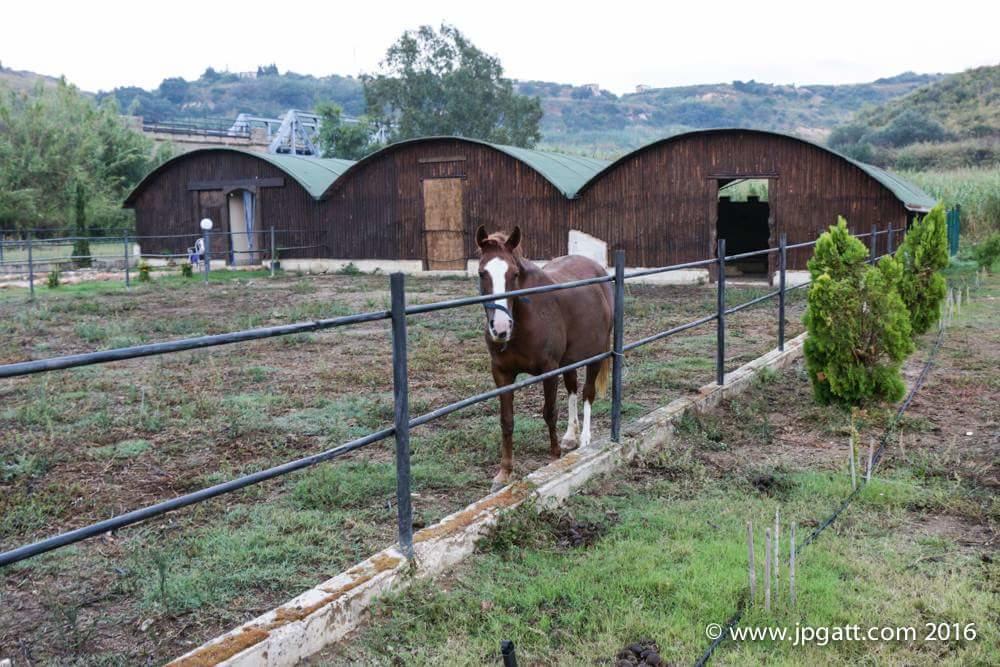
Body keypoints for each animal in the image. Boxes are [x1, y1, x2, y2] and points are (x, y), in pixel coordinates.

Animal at [474, 224, 612, 490]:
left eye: (514, 273)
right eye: (481, 273)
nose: (501, 328)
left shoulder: (549, 370)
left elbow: (549, 412)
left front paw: (554, 458)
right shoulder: (501, 373)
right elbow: (506, 420)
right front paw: (504, 473)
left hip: (595, 356)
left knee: (587, 393)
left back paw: (585, 439)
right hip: (570, 360)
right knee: (572, 388)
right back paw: (570, 436)